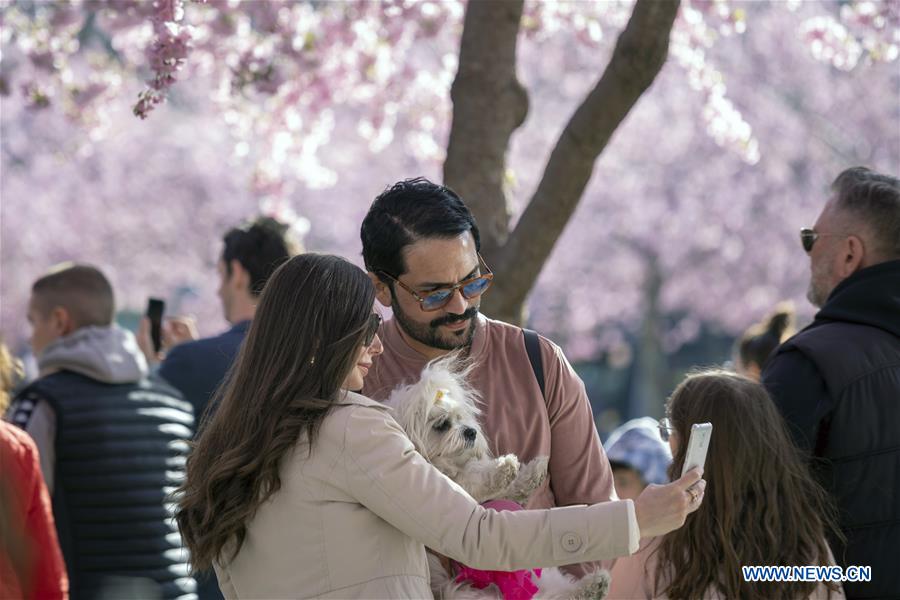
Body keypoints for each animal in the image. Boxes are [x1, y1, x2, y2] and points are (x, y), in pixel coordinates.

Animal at [388, 356, 612, 600]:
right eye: (442, 425)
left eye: (461, 418)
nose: (471, 432)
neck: (446, 466)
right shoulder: (447, 489)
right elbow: (474, 478)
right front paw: (504, 467)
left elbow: (506, 490)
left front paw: (530, 471)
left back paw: (591, 586)